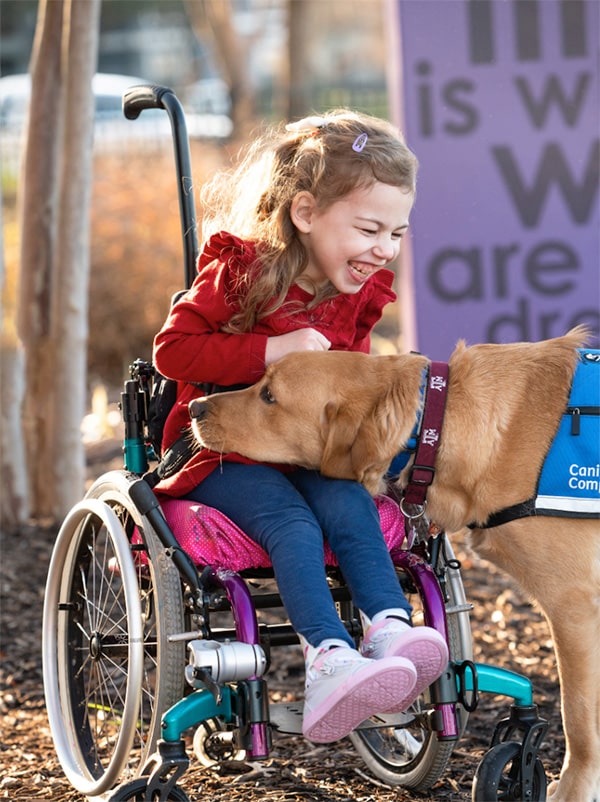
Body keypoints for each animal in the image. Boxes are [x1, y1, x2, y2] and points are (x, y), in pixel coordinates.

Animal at [191, 326, 600, 800]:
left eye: (269, 395)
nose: (195, 408)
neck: (436, 423)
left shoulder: (574, 604)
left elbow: (578, 718)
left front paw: (572, 789)